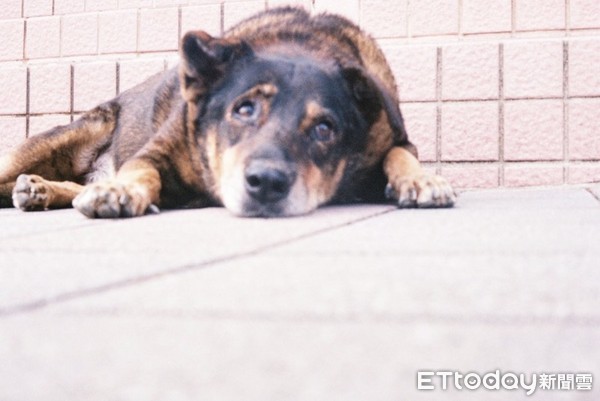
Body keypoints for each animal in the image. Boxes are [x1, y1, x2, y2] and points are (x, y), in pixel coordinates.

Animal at [0, 6, 454, 217]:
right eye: (244, 109)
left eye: (325, 128)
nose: (267, 183)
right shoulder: (157, 151)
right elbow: (140, 171)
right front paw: (120, 191)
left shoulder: (393, 136)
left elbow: (400, 155)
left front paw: (422, 180)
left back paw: (41, 190)